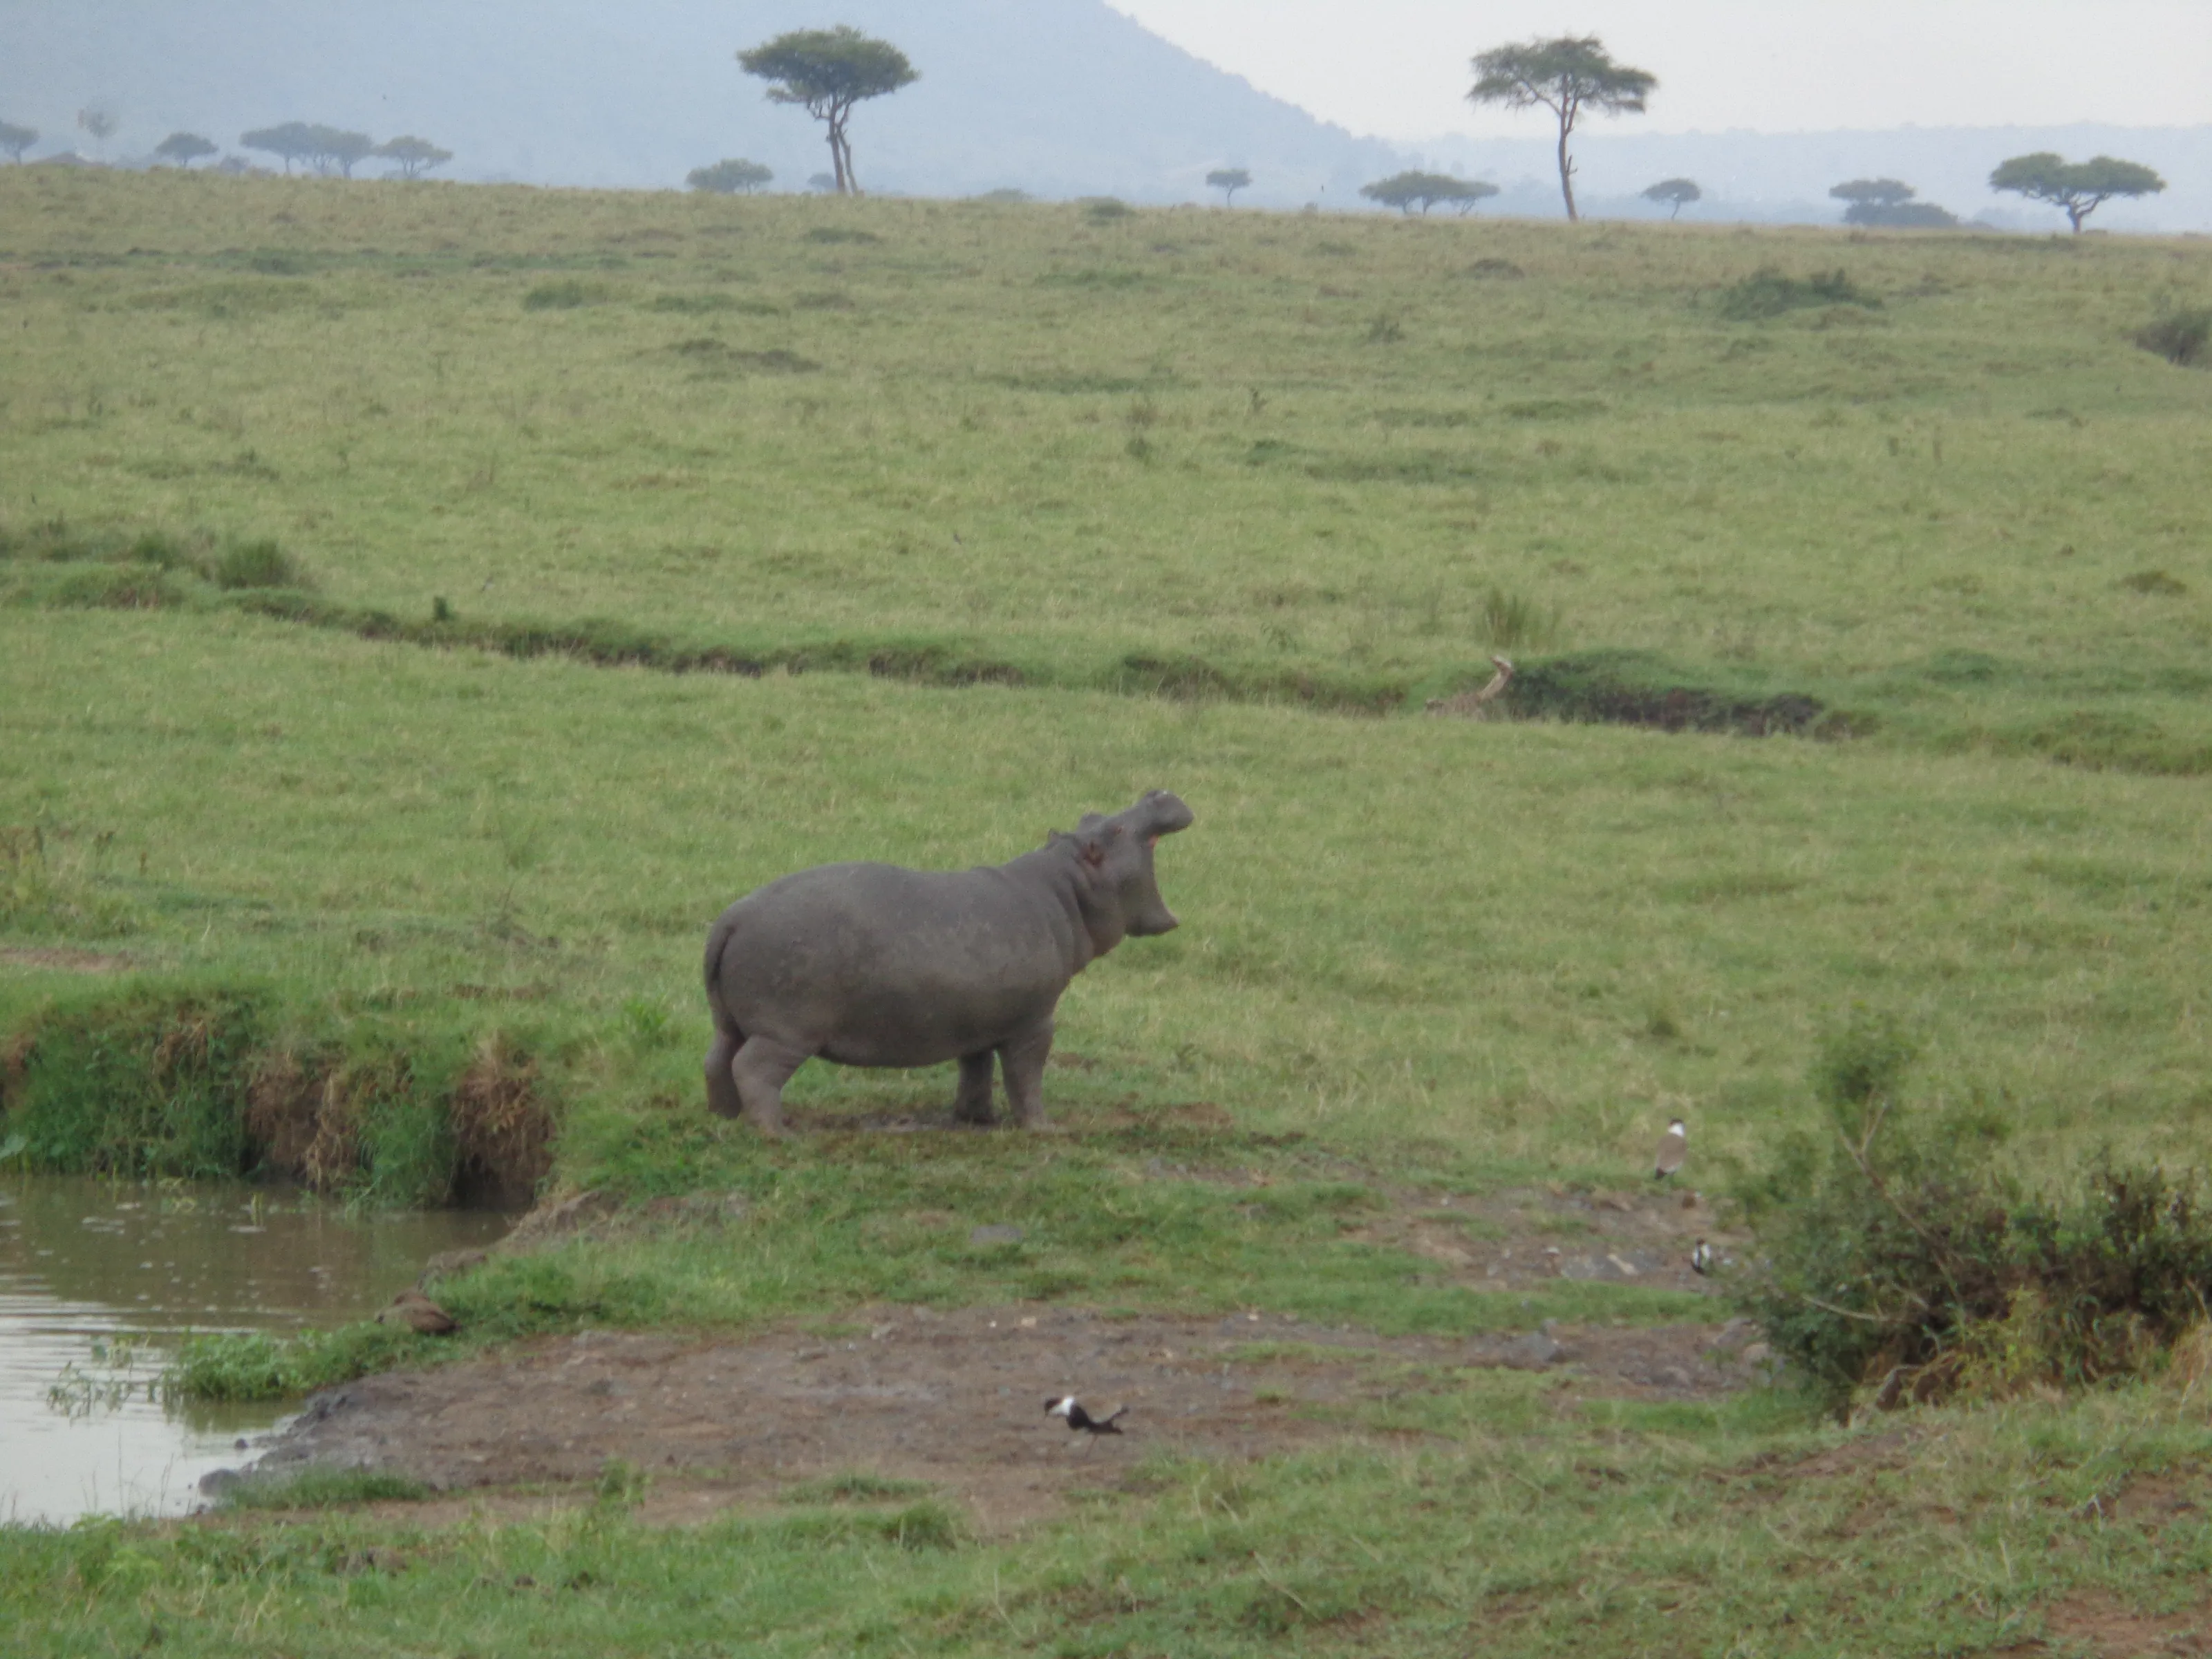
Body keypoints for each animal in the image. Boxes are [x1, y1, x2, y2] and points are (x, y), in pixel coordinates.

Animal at [703, 790, 1194, 1135]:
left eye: (1091, 817)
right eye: (1114, 830)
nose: (1156, 791)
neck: (1068, 888)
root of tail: (732, 918)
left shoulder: (979, 1019)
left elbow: (976, 1070)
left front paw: (978, 1120)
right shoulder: (1034, 1021)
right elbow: (1025, 1076)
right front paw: (1044, 1128)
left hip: (732, 1023)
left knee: (717, 1061)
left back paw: (726, 1119)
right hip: (785, 1032)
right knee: (754, 1070)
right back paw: (778, 1134)